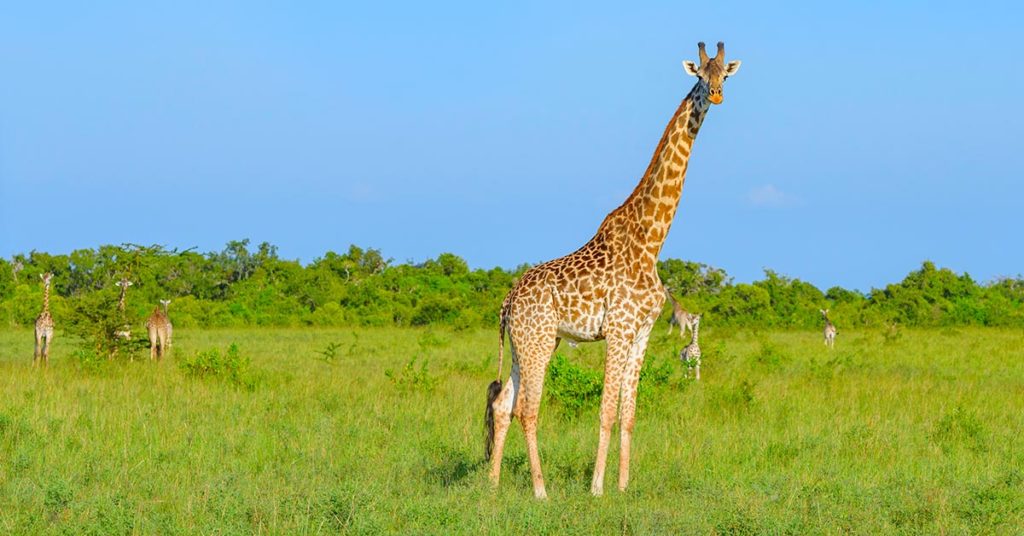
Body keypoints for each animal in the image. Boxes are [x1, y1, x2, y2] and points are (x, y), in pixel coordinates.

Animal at [484, 42, 741, 498]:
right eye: (699, 76)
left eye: (724, 76)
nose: (715, 96)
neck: (651, 241)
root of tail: (508, 300)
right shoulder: (618, 330)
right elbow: (604, 410)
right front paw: (597, 488)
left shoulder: (642, 334)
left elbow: (629, 413)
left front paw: (623, 486)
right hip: (538, 342)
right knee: (528, 409)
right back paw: (540, 491)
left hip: (528, 343)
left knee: (502, 404)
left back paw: (494, 485)